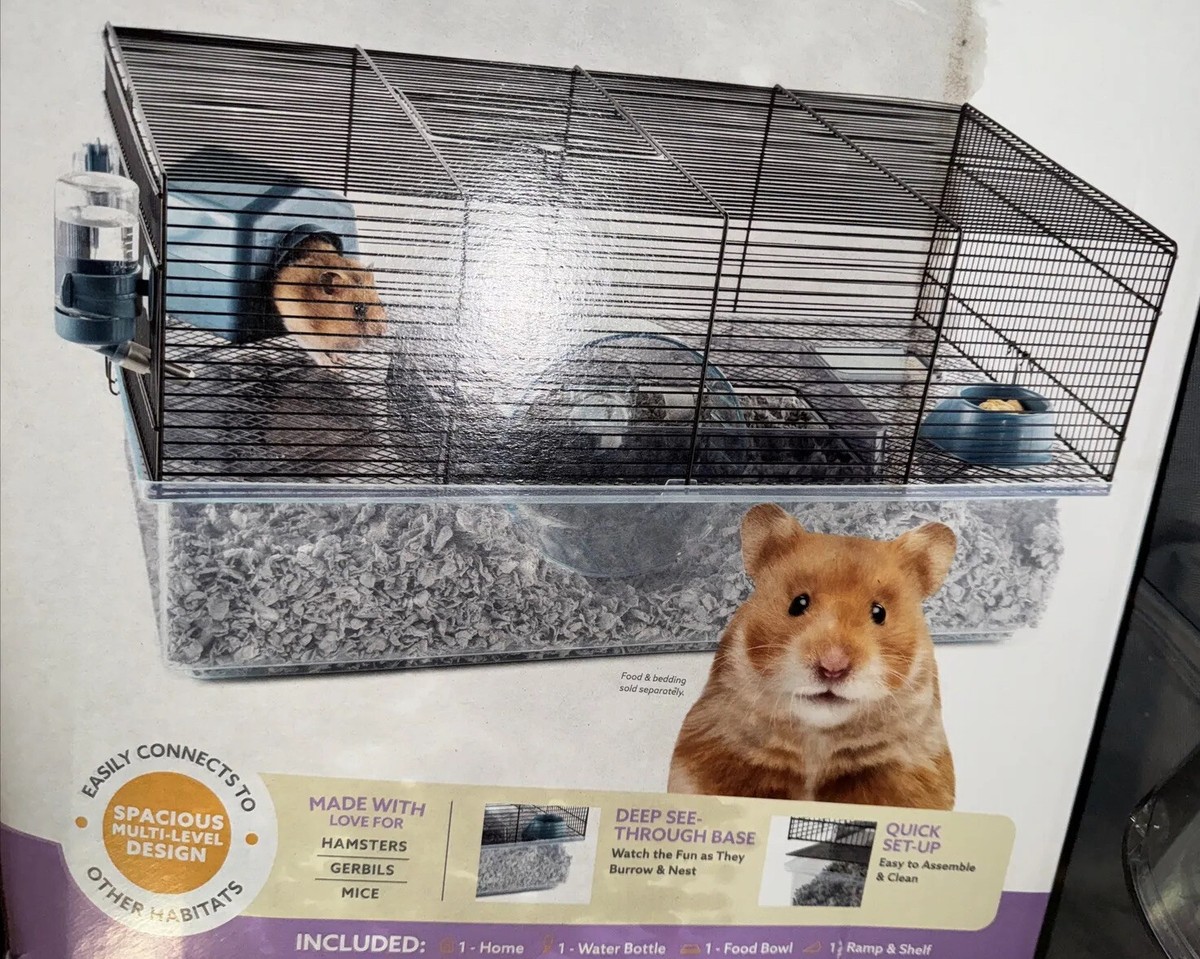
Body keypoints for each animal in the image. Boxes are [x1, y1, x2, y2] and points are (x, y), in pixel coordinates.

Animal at [271, 237, 389, 368]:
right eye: (358, 308)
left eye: (381, 303)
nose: (384, 331)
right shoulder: (301, 330)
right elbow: (316, 352)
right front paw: (334, 367)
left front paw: (342, 359)